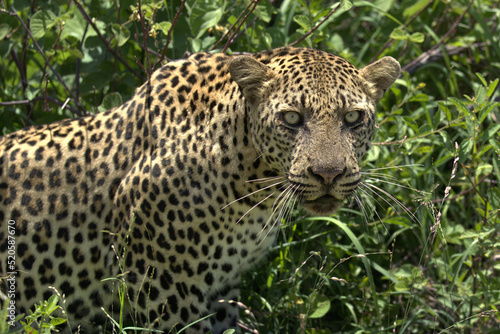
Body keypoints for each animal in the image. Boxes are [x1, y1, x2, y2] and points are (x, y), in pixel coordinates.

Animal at [0, 47, 398, 334]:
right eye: (291, 118)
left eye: (352, 118)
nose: (329, 174)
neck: (252, 187)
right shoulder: (163, 292)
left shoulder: (221, 291)